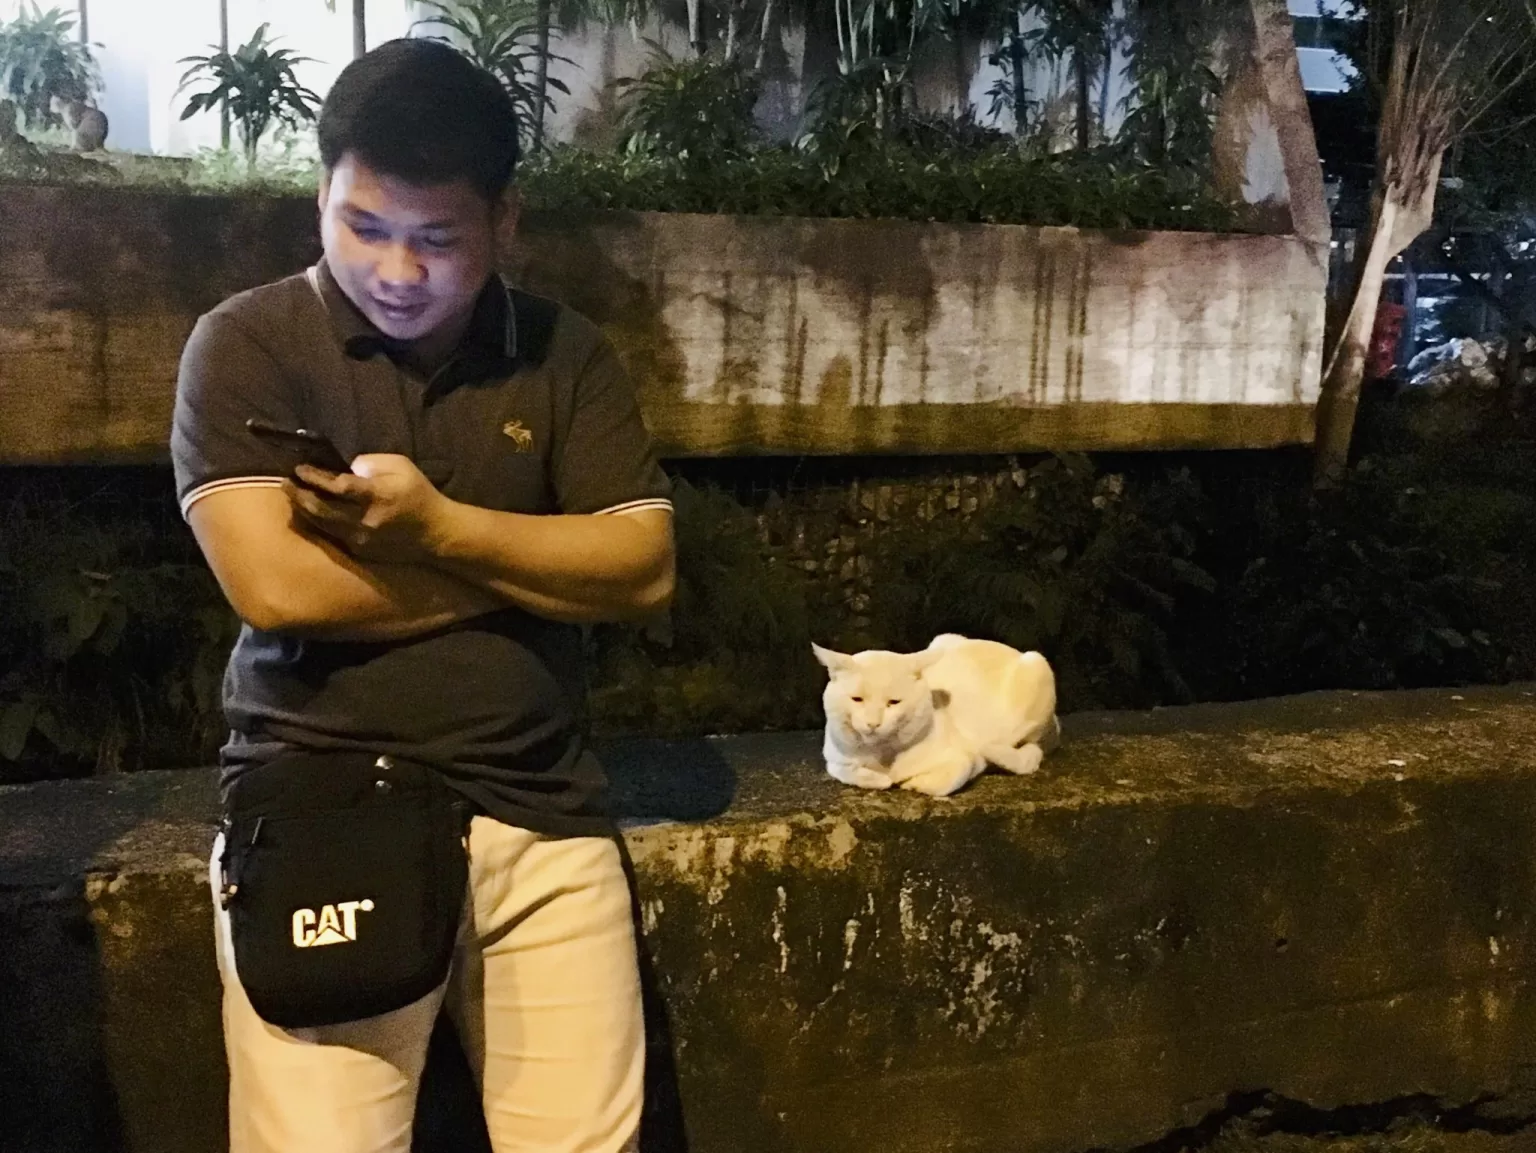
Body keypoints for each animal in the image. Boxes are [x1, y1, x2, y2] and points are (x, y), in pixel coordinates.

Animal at [812, 633, 1059, 797]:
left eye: (893, 702)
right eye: (857, 699)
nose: (873, 723)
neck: (884, 755)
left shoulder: (966, 759)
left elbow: (954, 775)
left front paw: (912, 783)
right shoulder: (835, 758)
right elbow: (847, 771)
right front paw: (880, 779)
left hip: (1037, 667)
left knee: (1031, 752)